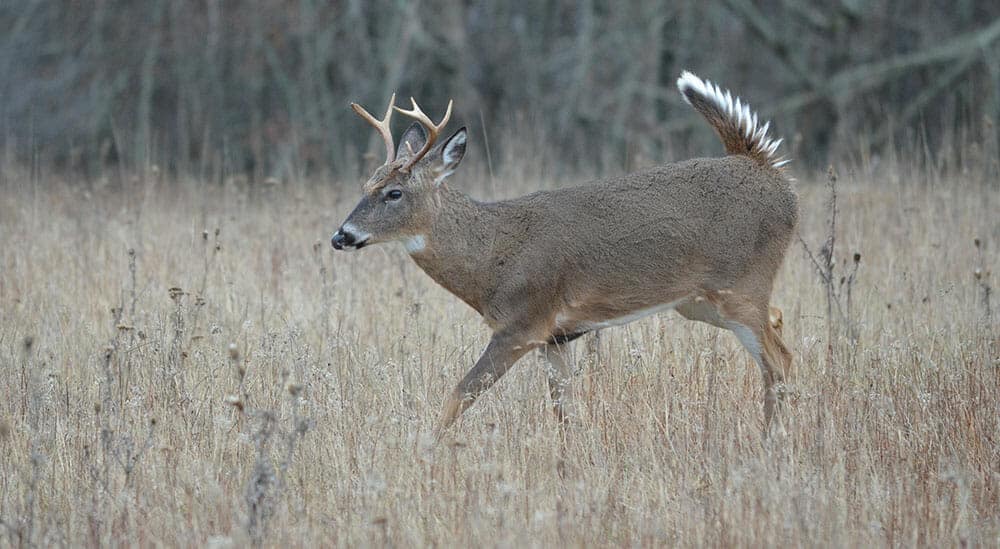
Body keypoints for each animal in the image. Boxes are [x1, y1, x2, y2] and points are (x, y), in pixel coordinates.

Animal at [334, 73, 796, 438]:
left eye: (394, 193)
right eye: (365, 184)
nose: (342, 235)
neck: (492, 258)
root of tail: (771, 175)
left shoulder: (521, 325)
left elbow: (459, 394)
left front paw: (424, 448)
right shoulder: (556, 337)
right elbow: (564, 411)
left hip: (741, 285)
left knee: (779, 360)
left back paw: (771, 440)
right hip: (700, 302)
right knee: (777, 326)